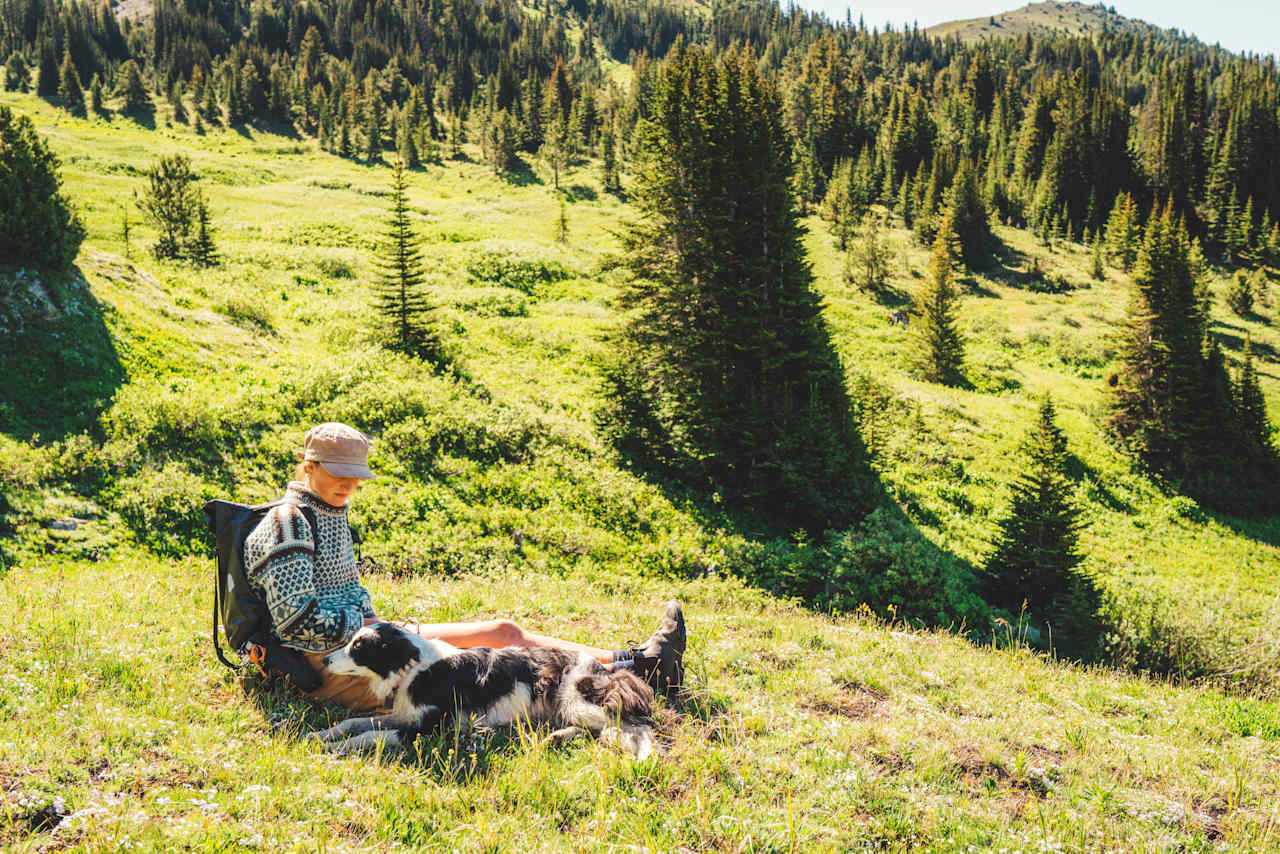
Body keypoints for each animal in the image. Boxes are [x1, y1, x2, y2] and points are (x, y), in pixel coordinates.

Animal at [308, 624, 655, 757]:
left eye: (358, 647)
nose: (324, 660)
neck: (414, 667)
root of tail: (605, 671)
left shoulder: (431, 728)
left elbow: (369, 735)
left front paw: (336, 749)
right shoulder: (405, 715)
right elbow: (354, 722)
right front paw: (322, 735)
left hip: (578, 700)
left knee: (626, 725)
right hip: (564, 707)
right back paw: (556, 737)